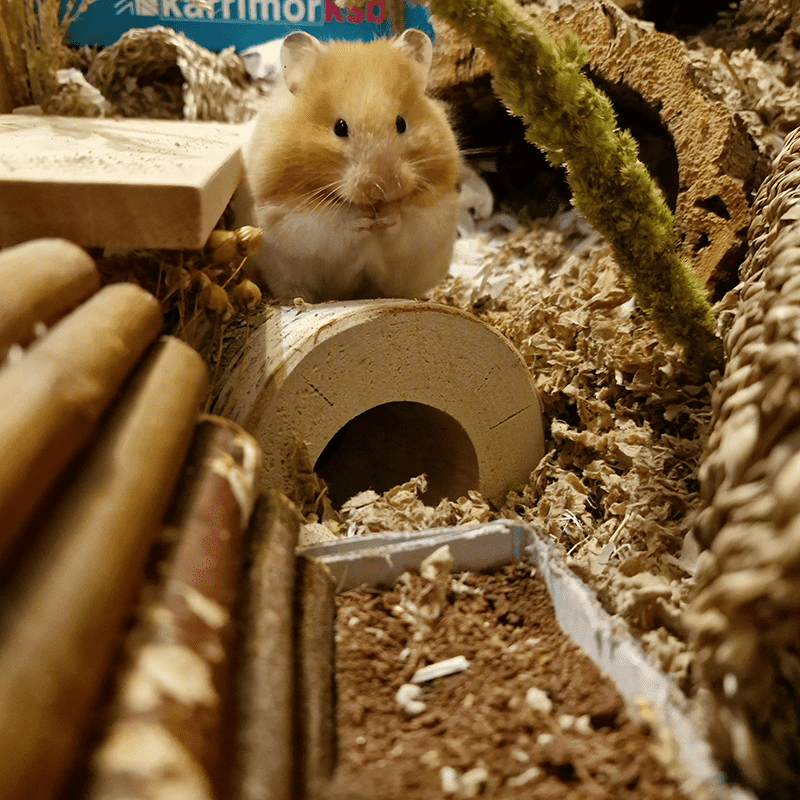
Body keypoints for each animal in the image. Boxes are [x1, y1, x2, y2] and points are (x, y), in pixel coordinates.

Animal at [238, 29, 460, 303]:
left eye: (401, 123)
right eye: (340, 127)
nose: (382, 187)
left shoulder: (435, 214)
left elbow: (408, 221)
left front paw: (388, 216)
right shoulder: (287, 215)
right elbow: (331, 223)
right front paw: (361, 219)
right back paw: (300, 301)